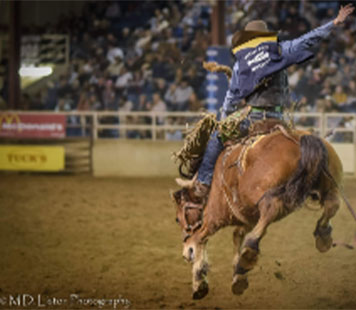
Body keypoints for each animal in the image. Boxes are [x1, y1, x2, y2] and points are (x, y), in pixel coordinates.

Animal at [172, 126, 344, 300]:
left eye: (177, 219)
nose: (186, 254)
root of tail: (301, 137)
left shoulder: (214, 218)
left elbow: (200, 238)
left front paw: (199, 282)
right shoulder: (248, 218)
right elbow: (237, 235)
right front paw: (238, 276)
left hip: (263, 195)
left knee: (271, 208)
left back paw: (249, 253)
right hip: (329, 186)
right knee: (333, 204)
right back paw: (323, 236)